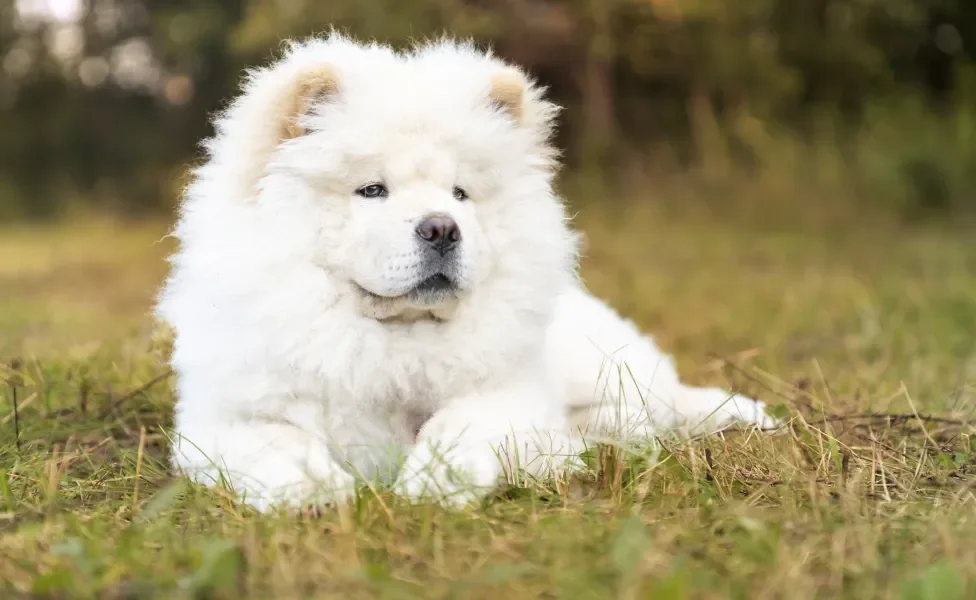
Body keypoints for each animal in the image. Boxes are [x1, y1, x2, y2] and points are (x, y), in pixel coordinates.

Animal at [154, 32, 776, 510]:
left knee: (666, 399)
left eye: (460, 194)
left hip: (598, 364)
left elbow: (457, 427)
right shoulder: (224, 419)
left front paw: (430, 485)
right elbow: (278, 447)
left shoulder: (509, 395)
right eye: (372, 190)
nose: (441, 228)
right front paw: (314, 493)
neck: (394, 338)